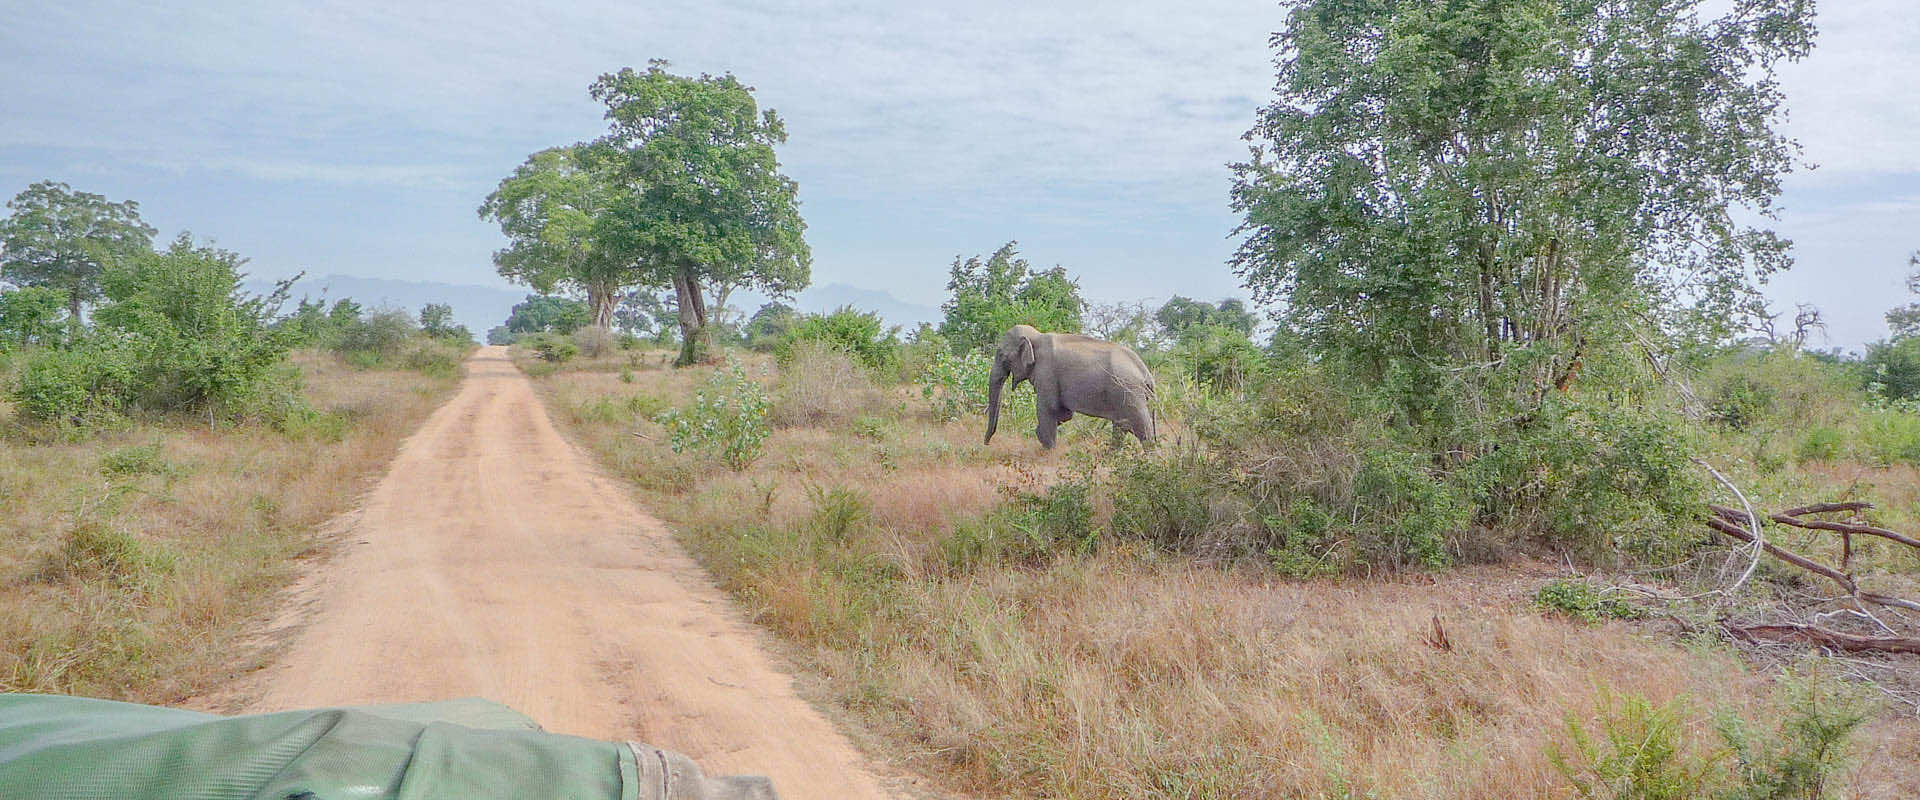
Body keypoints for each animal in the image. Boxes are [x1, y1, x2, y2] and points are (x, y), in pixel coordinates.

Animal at [990, 324, 1152, 448]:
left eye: (1001, 355)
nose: (987, 443)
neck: (1037, 337)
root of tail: (1145, 371)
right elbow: (1064, 414)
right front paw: (1040, 433)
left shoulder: (1046, 373)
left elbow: (1049, 408)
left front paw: (1047, 450)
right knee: (1121, 426)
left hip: (1130, 392)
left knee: (1141, 427)